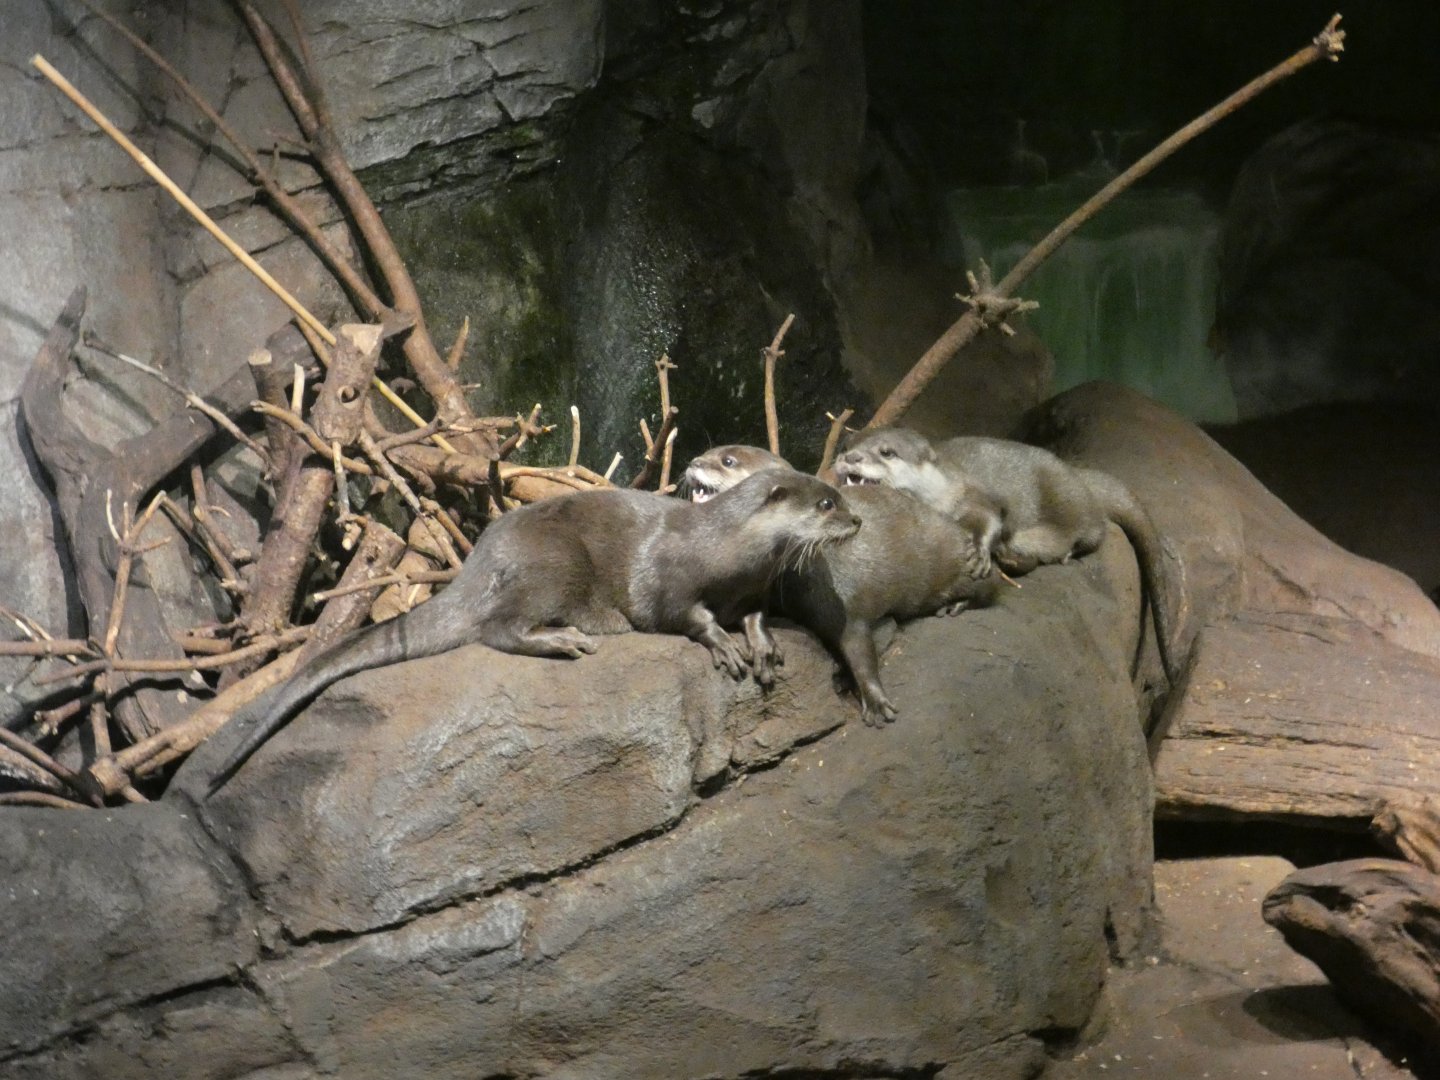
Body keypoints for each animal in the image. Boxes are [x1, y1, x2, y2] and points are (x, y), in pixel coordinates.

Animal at [206, 469, 860, 794]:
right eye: (827, 503)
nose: (856, 520)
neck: (724, 549)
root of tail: (476, 559)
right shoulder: (668, 580)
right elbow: (683, 615)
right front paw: (723, 647)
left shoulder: (755, 586)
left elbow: (753, 614)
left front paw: (763, 648)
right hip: (552, 565)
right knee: (496, 628)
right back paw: (564, 640)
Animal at [686, 449, 998, 724]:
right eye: (709, 451)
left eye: (727, 460)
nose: (693, 461)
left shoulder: (845, 605)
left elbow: (860, 650)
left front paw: (875, 701)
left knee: (991, 588)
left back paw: (956, 603)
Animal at [836, 427, 1181, 684]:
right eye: (846, 443)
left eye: (886, 452)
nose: (850, 457)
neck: (941, 490)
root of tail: (1078, 475)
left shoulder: (974, 494)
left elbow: (991, 516)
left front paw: (979, 554)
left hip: (1068, 500)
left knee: (1094, 528)